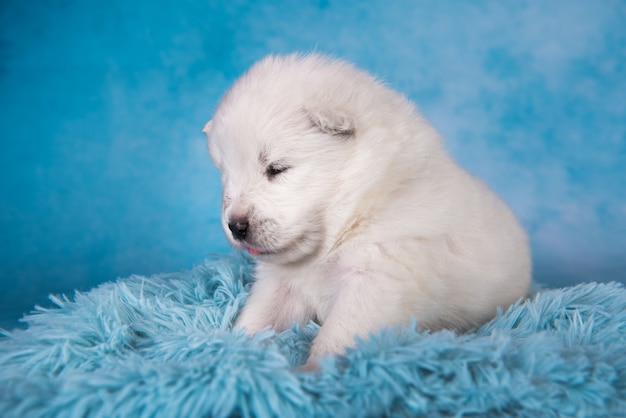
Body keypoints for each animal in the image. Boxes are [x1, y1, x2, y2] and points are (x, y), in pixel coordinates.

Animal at [202, 53, 528, 370]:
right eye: (226, 175)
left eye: (277, 168)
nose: (236, 226)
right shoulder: (281, 284)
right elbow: (258, 317)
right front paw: (231, 351)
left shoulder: (377, 278)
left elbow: (339, 332)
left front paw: (313, 372)